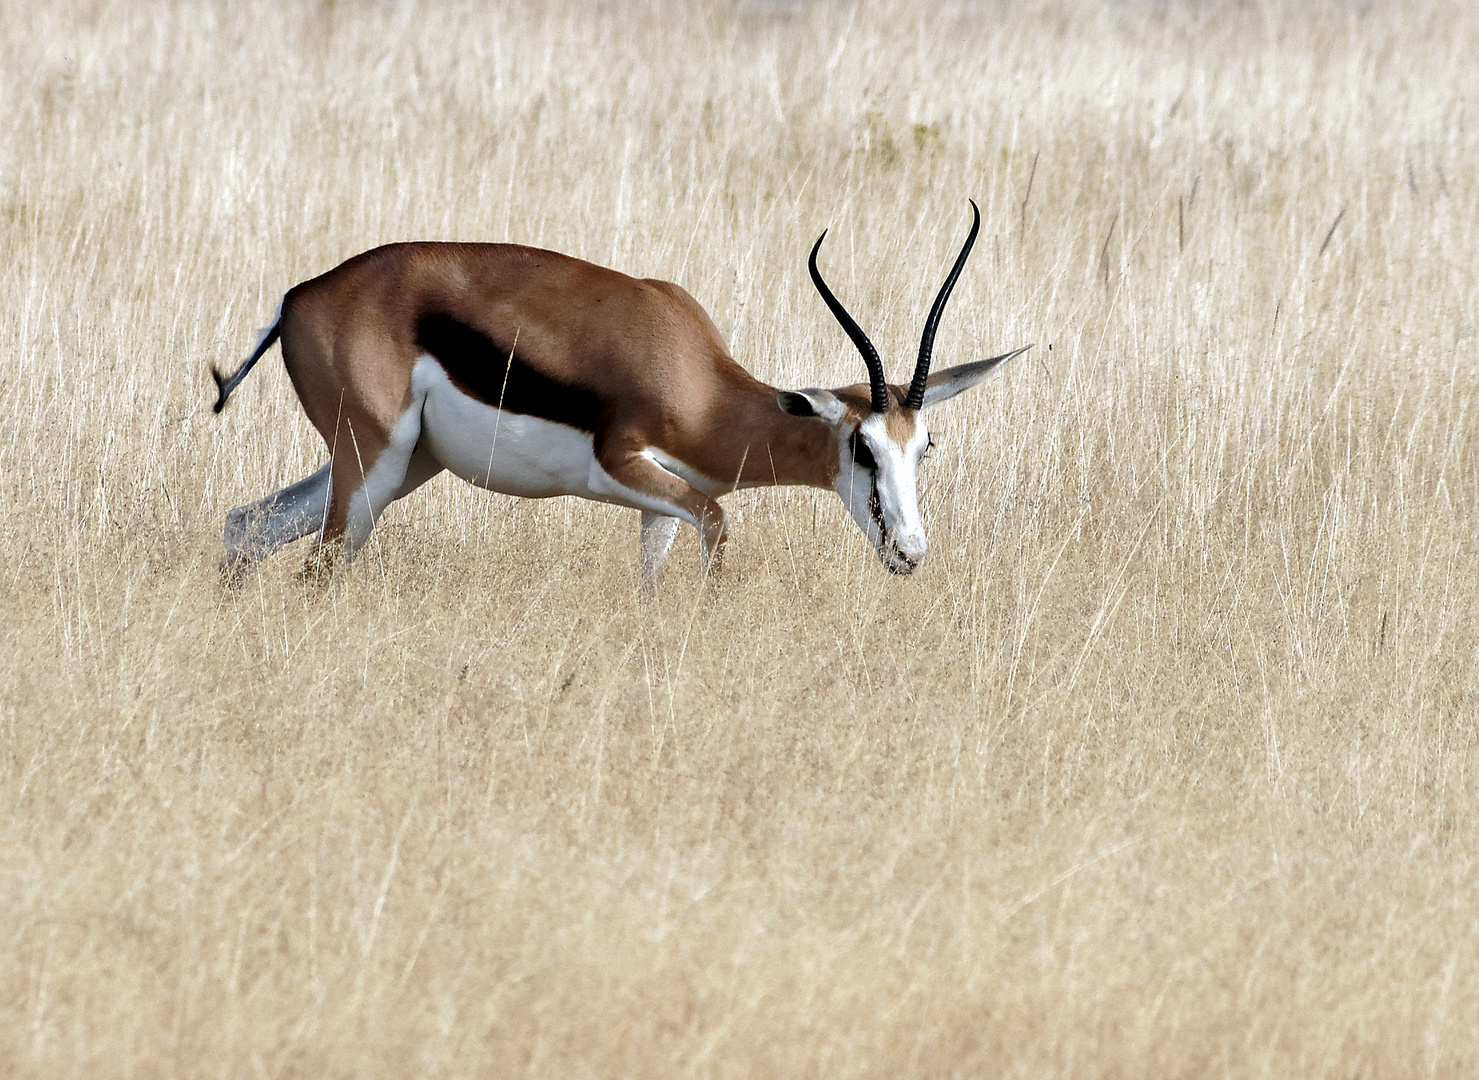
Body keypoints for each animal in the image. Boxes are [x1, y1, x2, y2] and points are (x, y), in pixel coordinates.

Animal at [211, 201, 1029, 588]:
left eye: (924, 446)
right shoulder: (625, 467)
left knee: (245, 525)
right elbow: (720, 531)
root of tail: (300, 296)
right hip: (372, 468)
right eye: (861, 446)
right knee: (315, 569)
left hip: (405, 465)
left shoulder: (659, 504)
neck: (695, 382)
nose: (910, 551)